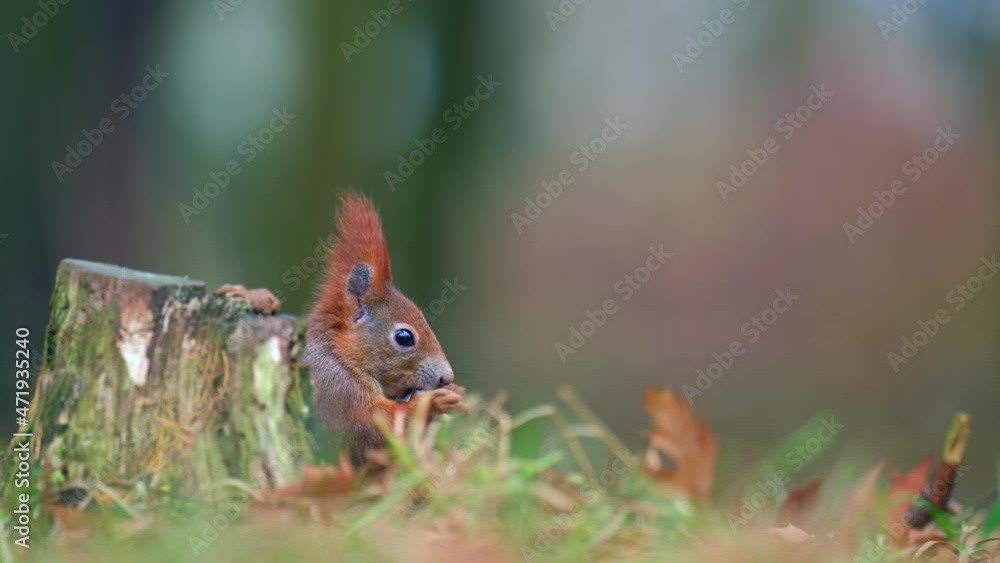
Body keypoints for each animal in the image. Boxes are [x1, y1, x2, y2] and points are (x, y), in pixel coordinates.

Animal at [303, 194, 465, 465]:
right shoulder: (335, 389)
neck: (338, 355)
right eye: (404, 337)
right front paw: (431, 404)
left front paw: (455, 392)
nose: (447, 378)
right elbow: (370, 427)